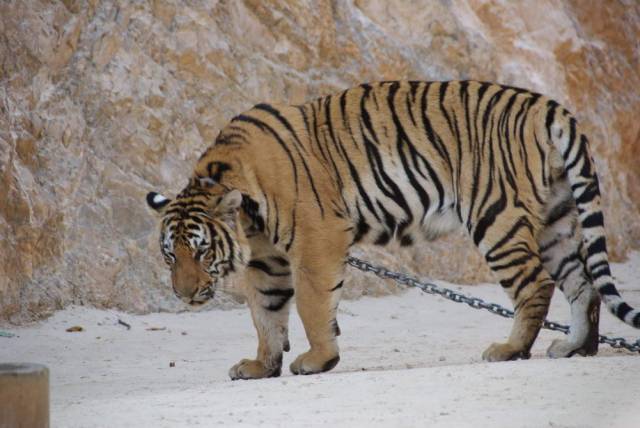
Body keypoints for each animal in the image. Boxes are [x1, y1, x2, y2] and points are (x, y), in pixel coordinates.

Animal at [146, 81, 640, 382]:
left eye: (201, 251)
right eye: (171, 255)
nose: (184, 295)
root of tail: (549, 106)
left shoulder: (318, 238)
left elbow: (310, 304)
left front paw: (318, 359)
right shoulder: (267, 256)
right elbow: (266, 310)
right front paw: (261, 366)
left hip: (495, 215)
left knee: (535, 284)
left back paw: (509, 349)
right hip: (556, 220)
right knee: (582, 285)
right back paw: (574, 347)